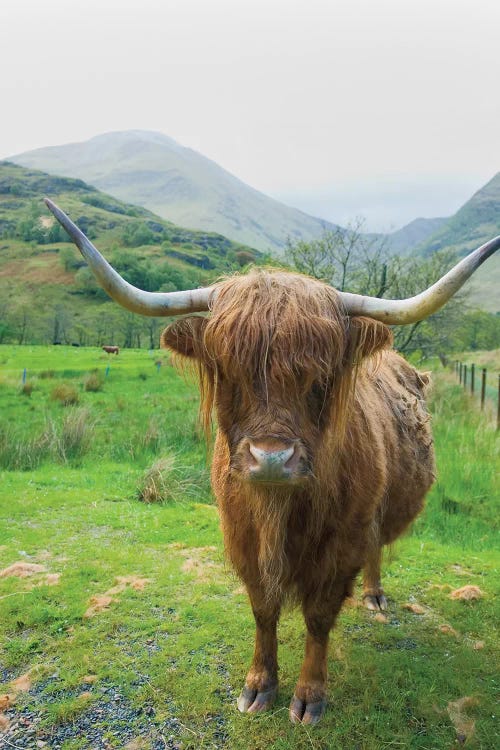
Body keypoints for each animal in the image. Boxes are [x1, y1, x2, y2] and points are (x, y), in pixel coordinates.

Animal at [45, 201, 498, 728]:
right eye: (227, 369)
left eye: (320, 376)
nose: (271, 458)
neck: (280, 509)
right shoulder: (240, 535)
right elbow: (263, 609)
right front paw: (259, 685)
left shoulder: (341, 544)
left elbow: (319, 618)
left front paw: (308, 696)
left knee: (376, 549)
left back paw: (374, 595)